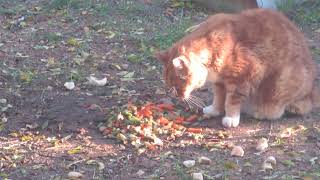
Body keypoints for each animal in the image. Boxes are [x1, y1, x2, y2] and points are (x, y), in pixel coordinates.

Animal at [155, 8, 318, 128]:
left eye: (177, 84)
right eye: (169, 84)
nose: (177, 96)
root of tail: (312, 92)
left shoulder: (243, 76)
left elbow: (231, 101)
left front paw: (231, 118)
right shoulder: (220, 82)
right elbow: (219, 97)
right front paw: (215, 110)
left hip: (283, 83)